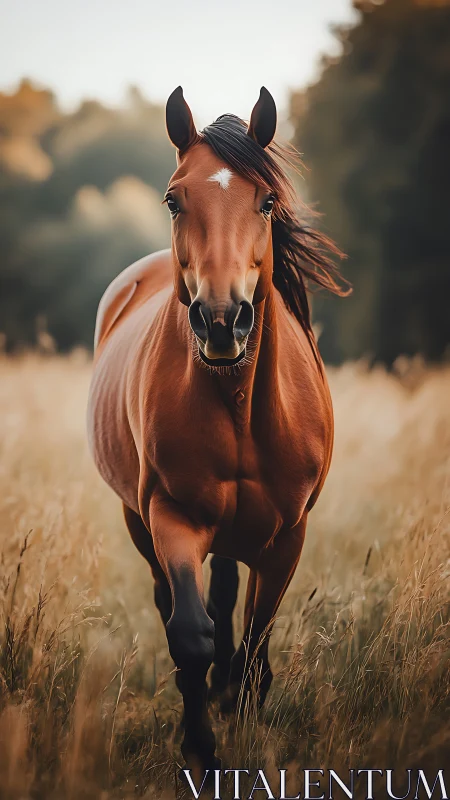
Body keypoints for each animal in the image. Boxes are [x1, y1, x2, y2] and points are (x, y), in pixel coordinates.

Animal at [87, 86, 347, 777]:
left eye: (268, 201)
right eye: (174, 199)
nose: (223, 320)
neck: (239, 408)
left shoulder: (287, 534)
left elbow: (256, 638)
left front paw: (242, 715)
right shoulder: (171, 516)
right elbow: (191, 633)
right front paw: (200, 748)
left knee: (231, 598)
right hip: (139, 517)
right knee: (176, 602)